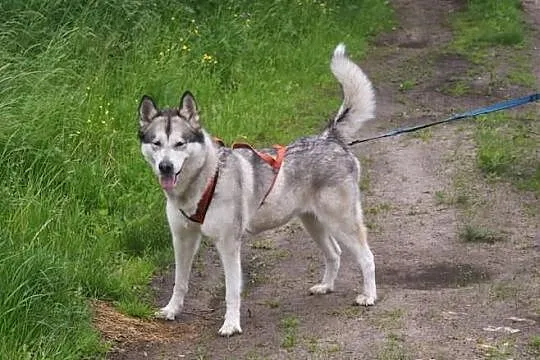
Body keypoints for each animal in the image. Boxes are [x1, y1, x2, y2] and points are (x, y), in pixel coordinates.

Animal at [138, 43, 376, 336]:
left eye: (180, 143)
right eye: (156, 143)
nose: (166, 167)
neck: (203, 181)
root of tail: (329, 138)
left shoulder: (228, 244)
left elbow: (231, 291)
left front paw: (231, 324)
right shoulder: (182, 239)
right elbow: (179, 282)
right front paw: (172, 310)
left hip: (341, 222)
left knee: (367, 257)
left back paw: (369, 296)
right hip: (314, 223)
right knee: (335, 253)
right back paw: (326, 286)